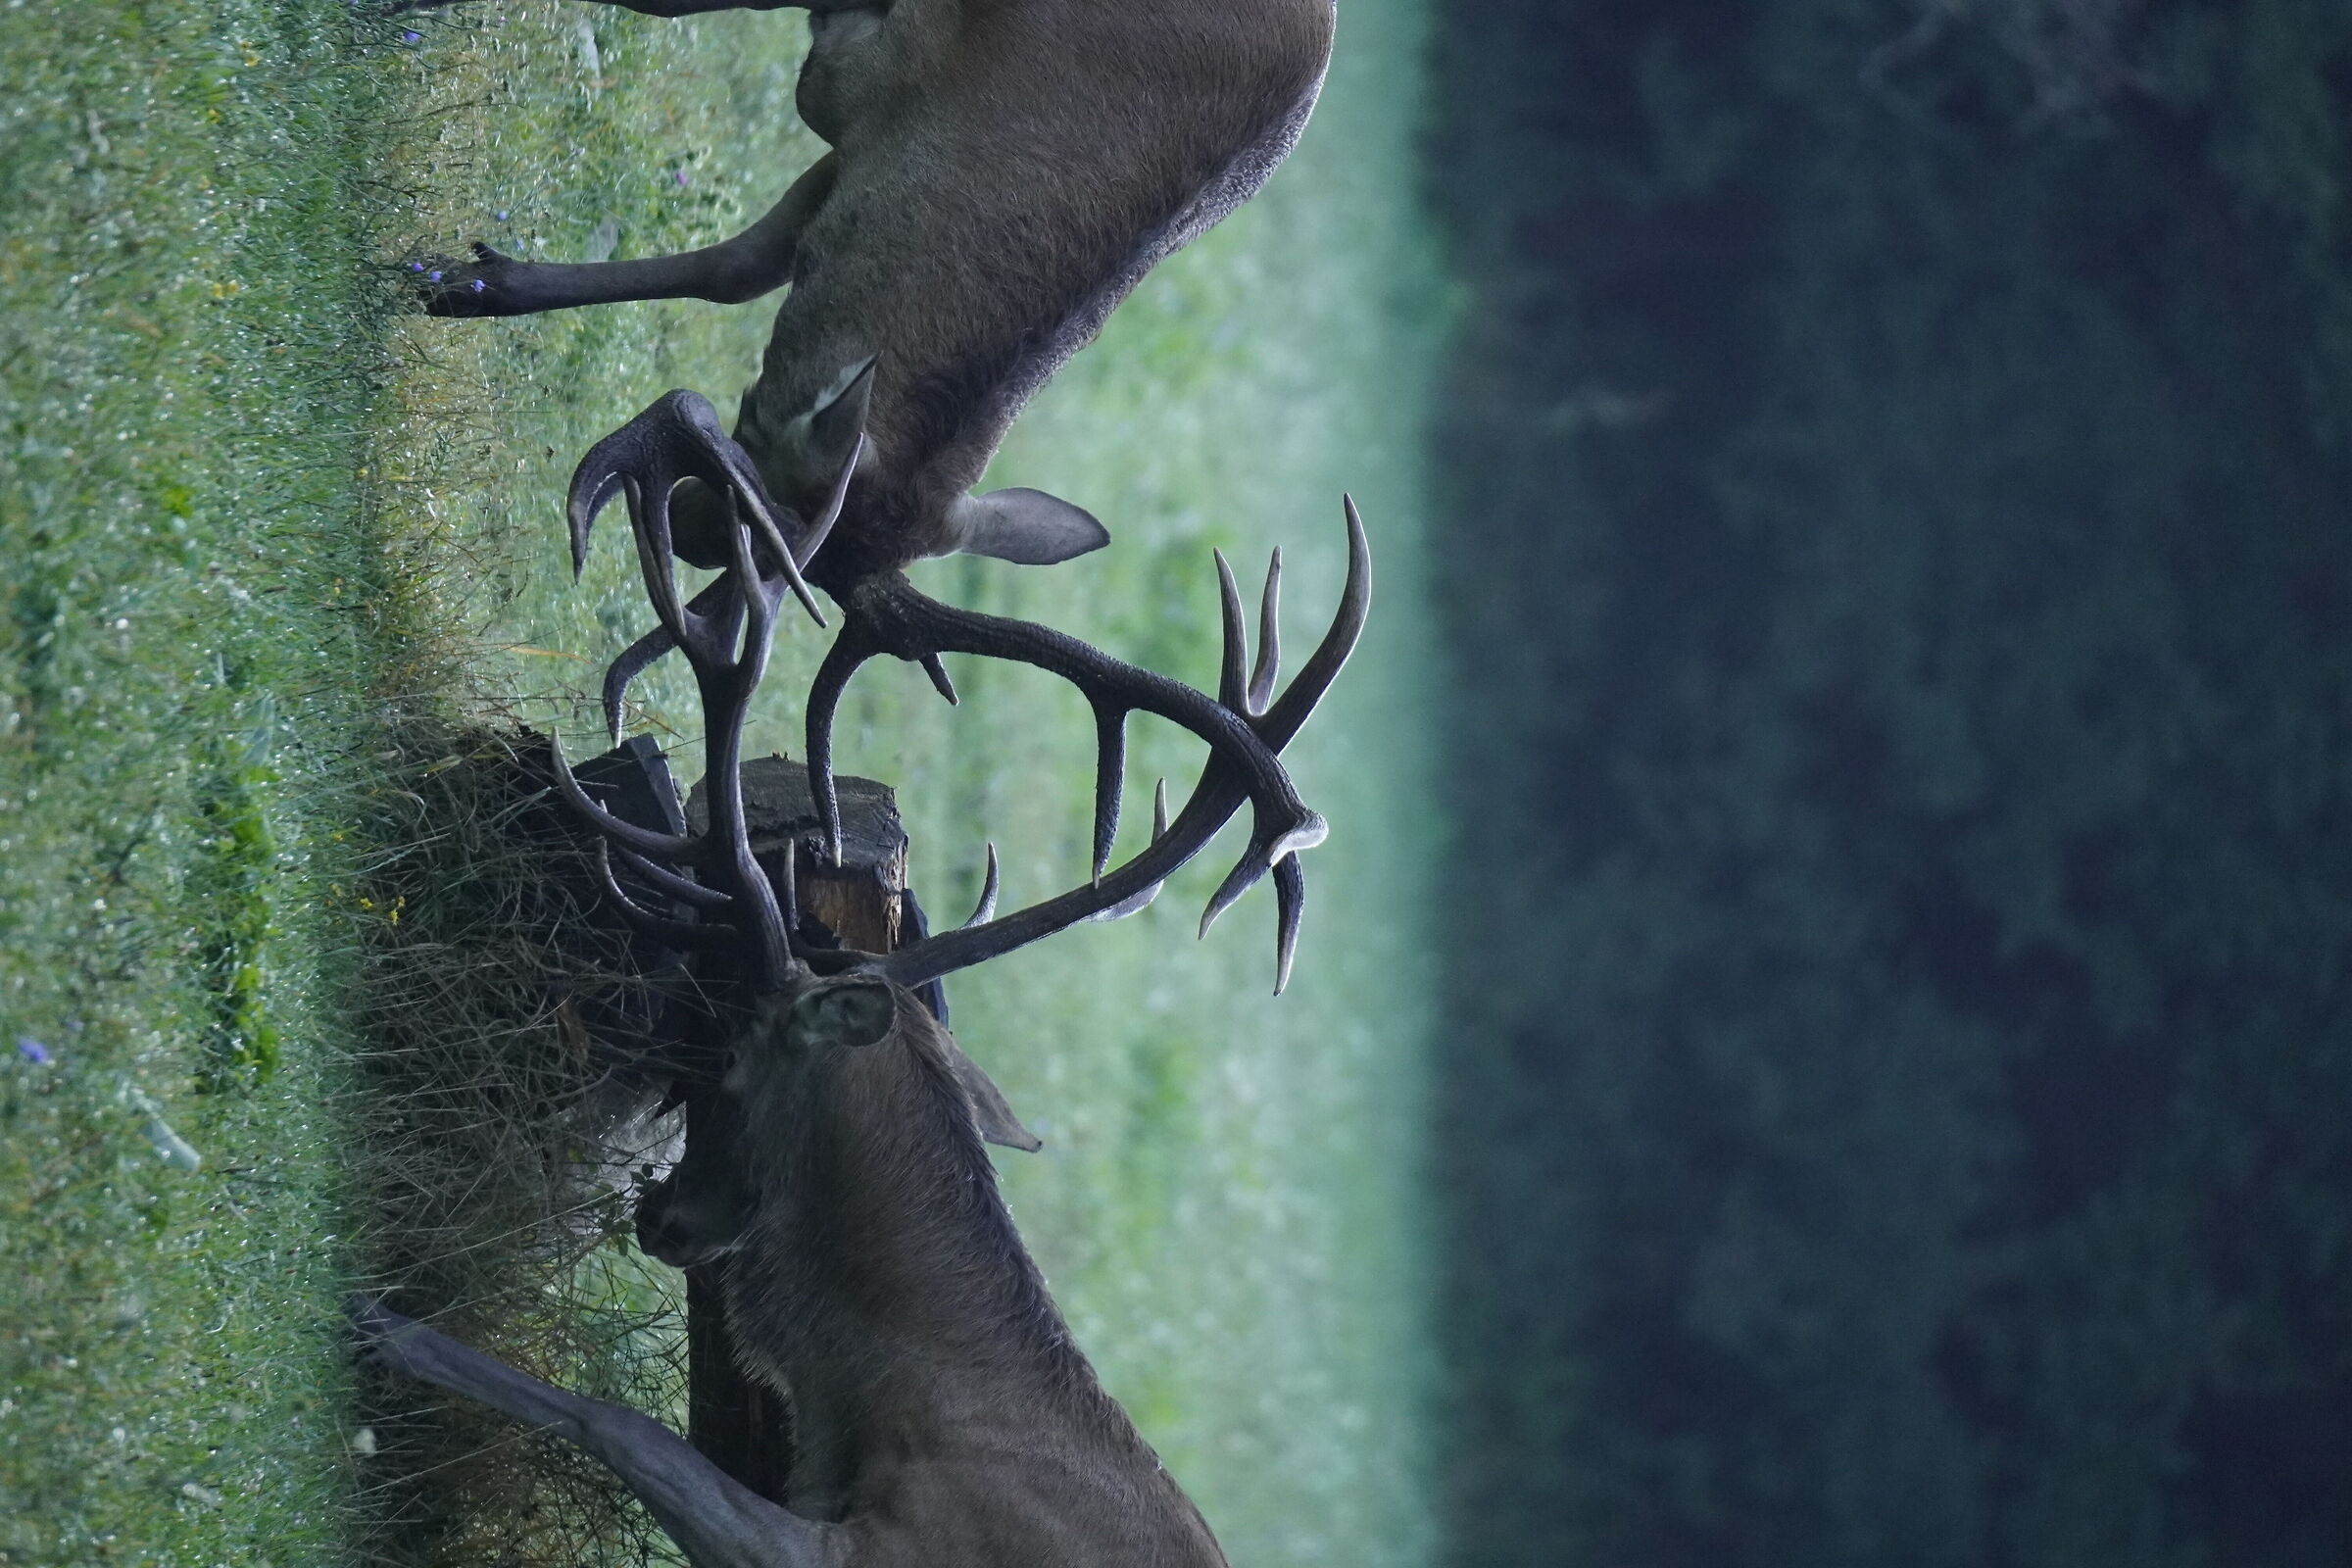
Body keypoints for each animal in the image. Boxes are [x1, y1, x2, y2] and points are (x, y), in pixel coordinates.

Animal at [353, 379, 1370, 1566]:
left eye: (732, 1055)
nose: (666, 1219)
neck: (870, 1407)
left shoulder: (875, 1545)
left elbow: (616, 1421)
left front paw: (382, 1321)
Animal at [398, 0, 1347, 969]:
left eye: (758, 535)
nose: (690, 548)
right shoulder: (851, 90)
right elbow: (733, 251)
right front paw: (460, 277)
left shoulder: (856, 105)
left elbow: (736, 265)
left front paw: (466, 281)